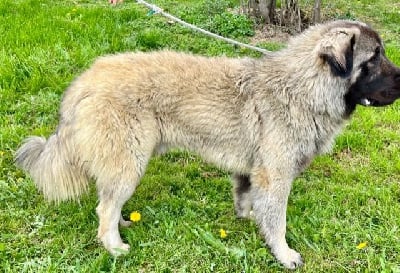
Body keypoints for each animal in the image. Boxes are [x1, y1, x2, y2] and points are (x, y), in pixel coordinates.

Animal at [14, 20, 400, 268]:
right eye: (373, 59)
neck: (303, 88)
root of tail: (85, 81)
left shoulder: (252, 172)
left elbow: (248, 201)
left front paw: (250, 222)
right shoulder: (275, 177)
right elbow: (277, 221)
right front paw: (284, 254)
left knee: (108, 203)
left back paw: (121, 223)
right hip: (130, 163)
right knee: (103, 209)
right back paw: (115, 247)